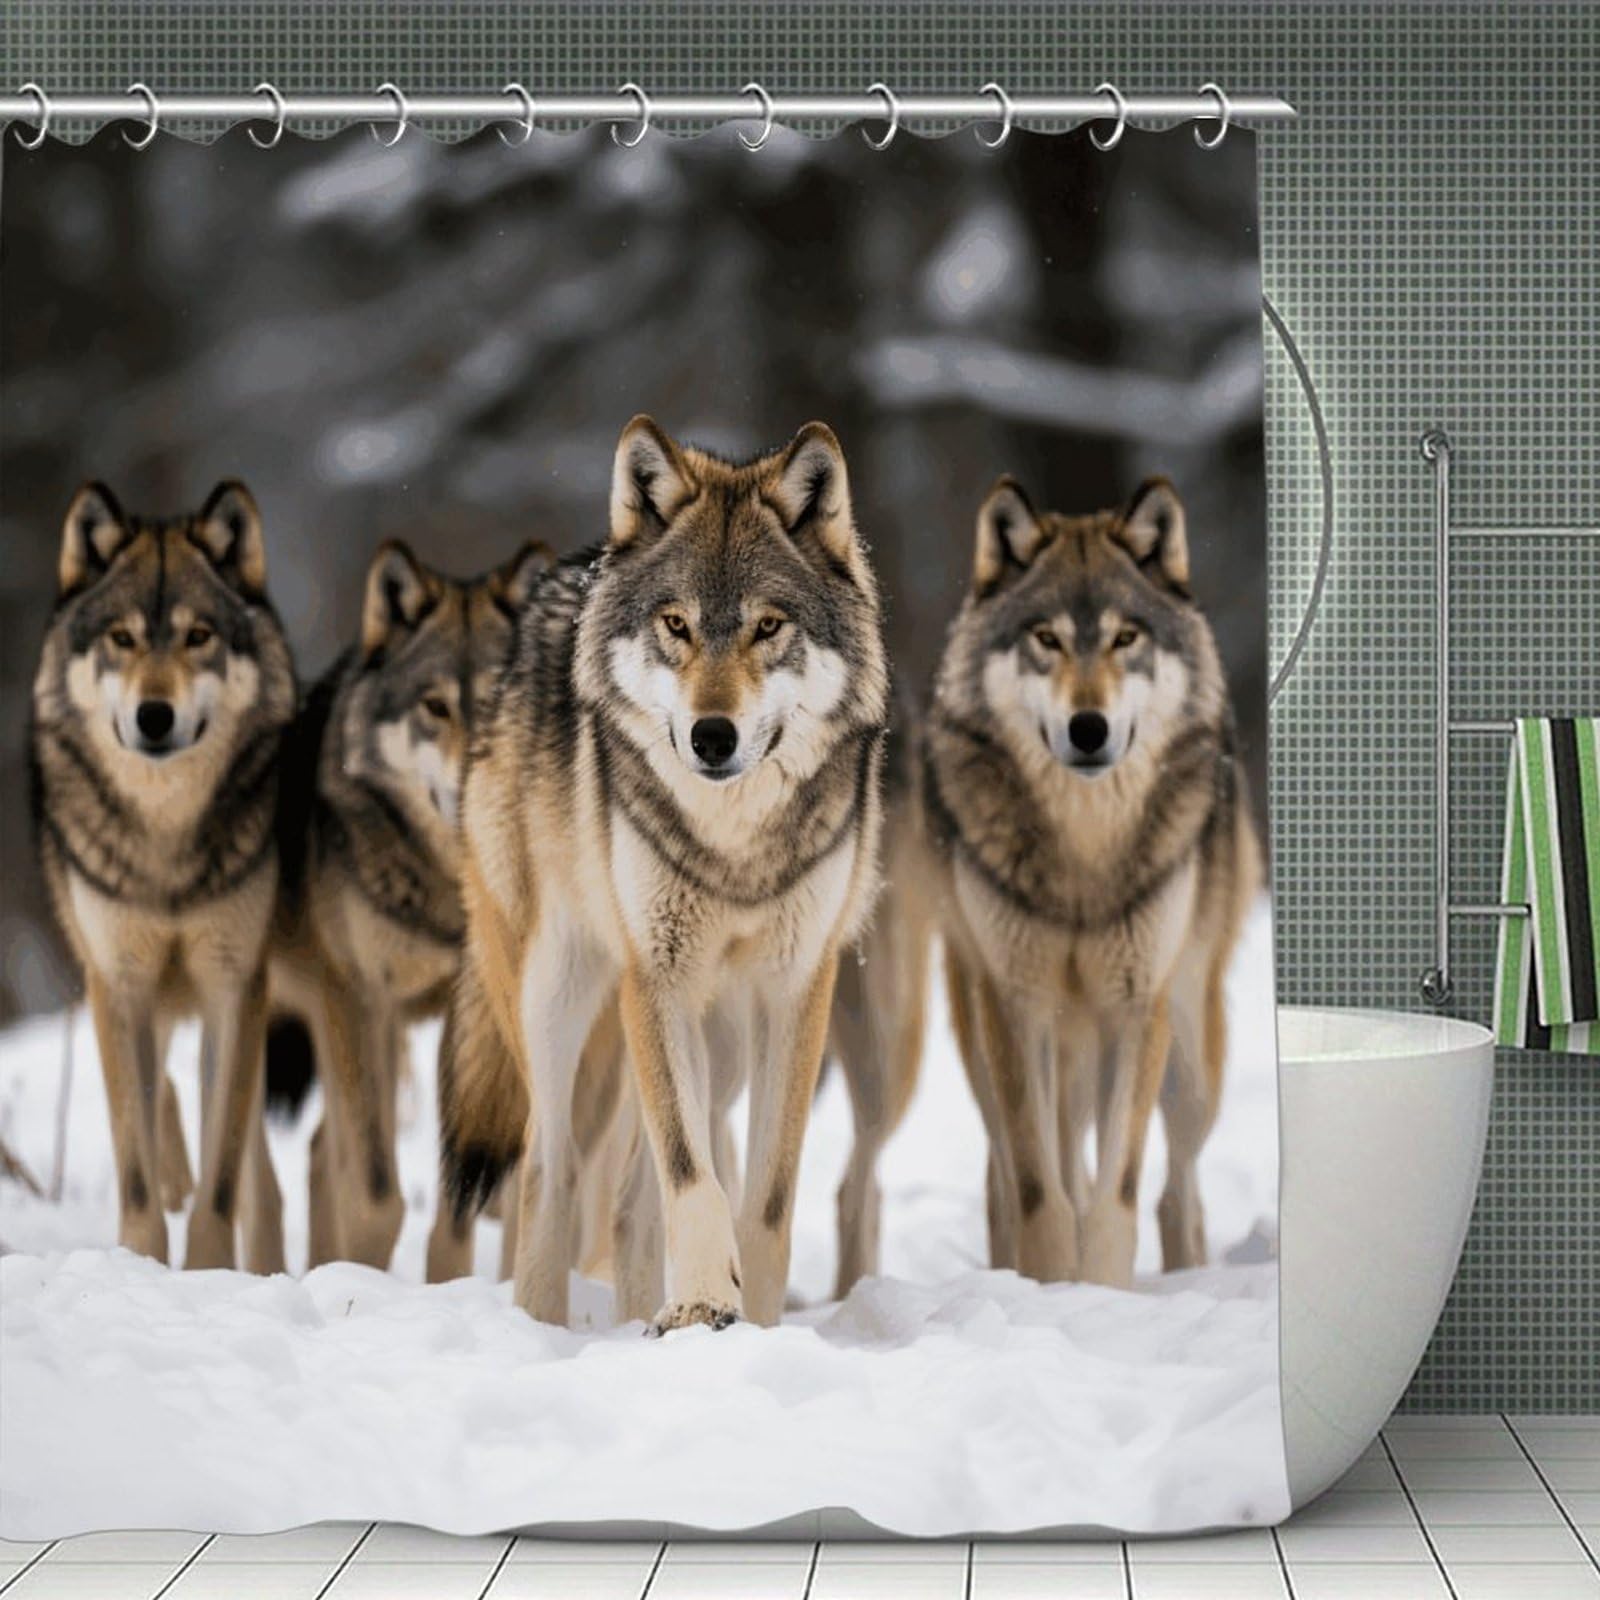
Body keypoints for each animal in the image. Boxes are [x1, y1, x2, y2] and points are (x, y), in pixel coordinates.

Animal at [29, 479, 297, 1271]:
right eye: (120, 639)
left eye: (197, 636)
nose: (155, 715)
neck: (165, 843)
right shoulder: (118, 983)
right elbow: (137, 1169)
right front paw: (144, 1265)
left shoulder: (233, 985)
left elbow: (223, 1177)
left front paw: (209, 1274)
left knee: (259, 1179)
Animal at [268, 536, 549, 1268]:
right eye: (434, 708)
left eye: (498, 701)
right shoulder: (358, 997)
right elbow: (373, 1194)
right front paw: (359, 1279)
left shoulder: (470, 1009)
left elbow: (461, 1188)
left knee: (318, 1154)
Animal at [435, 415, 888, 1333]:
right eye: (676, 624)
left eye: (767, 627)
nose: (713, 737)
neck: (733, 846)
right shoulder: (657, 975)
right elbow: (694, 1178)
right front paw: (706, 1303)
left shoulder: (796, 987)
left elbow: (762, 1199)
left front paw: (751, 1325)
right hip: (558, 996)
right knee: (551, 1175)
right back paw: (544, 1328)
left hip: (721, 1043)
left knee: (630, 1204)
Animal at [923, 475, 1260, 1290]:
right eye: (1045, 639)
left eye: (1124, 638)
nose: (1087, 728)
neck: (1083, 853)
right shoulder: (1017, 1006)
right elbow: (1043, 1192)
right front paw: (1052, 1289)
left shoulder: (1136, 1006)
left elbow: (1116, 1193)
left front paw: (1102, 1291)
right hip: (988, 1045)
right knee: (1008, 1177)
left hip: (1191, 1059)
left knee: (1176, 1192)